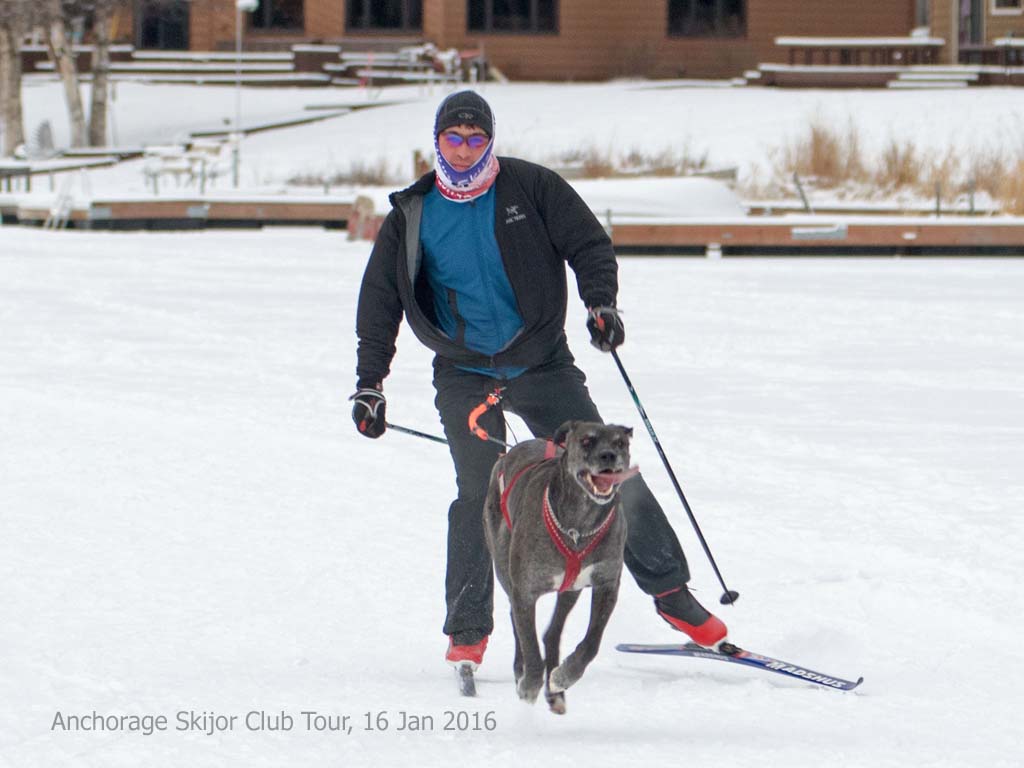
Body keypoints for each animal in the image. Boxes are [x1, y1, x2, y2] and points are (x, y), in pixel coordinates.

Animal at [483, 421, 634, 716]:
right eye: (587, 440)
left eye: (620, 442)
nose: (609, 456)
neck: (579, 527)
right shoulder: (524, 591)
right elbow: (529, 643)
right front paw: (530, 683)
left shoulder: (607, 584)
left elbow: (592, 643)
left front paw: (564, 676)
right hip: (504, 570)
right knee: (519, 626)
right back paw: (523, 672)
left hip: (570, 590)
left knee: (552, 634)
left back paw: (555, 692)